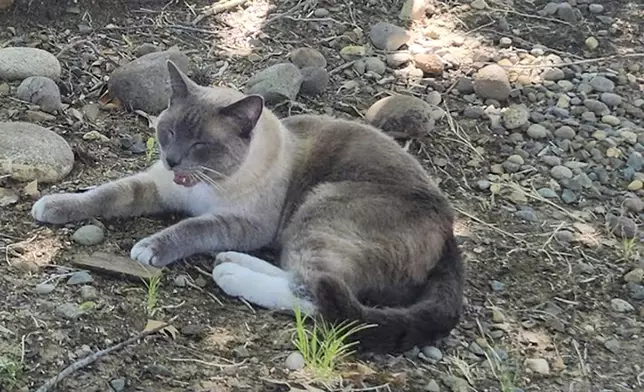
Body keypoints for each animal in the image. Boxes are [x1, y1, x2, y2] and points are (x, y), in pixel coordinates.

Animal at [31, 60, 462, 352]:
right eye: (168, 132)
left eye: (200, 144)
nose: (172, 160)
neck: (201, 186)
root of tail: (450, 229)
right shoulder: (156, 186)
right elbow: (104, 195)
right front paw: (51, 205)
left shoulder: (241, 223)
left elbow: (189, 228)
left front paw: (149, 248)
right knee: (303, 276)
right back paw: (232, 262)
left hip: (319, 209)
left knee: (318, 294)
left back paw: (232, 274)